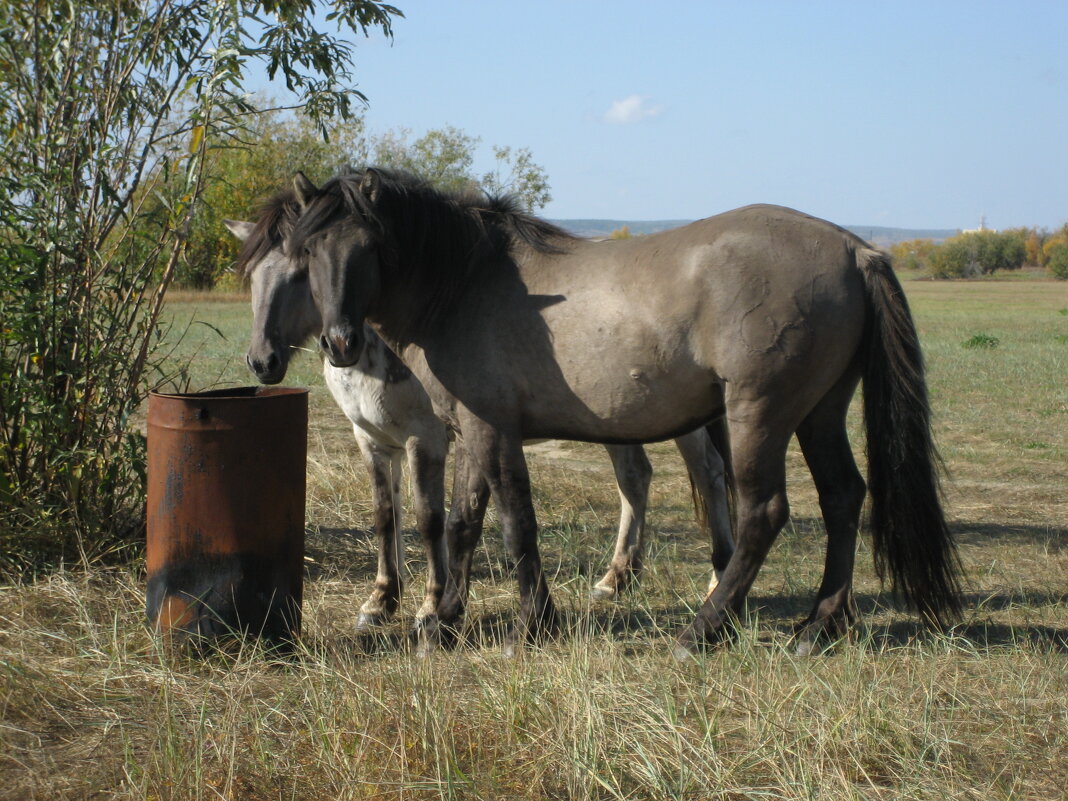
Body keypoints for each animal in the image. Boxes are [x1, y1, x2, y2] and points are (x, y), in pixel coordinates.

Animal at [227, 191, 734, 645]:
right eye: (251, 275)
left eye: (299, 272)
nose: (262, 361)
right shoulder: (371, 440)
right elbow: (386, 516)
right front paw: (381, 602)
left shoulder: (428, 439)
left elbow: (431, 519)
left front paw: (430, 607)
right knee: (634, 478)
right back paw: (616, 579)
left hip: (683, 425)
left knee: (709, 475)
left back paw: (715, 582)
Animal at [288, 169, 965, 657]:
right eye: (309, 249)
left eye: (369, 246)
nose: (340, 343)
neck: (464, 283)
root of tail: (855, 250)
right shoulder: (474, 430)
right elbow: (464, 524)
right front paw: (445, 623)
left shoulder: (491, 430)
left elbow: (513, 524)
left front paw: (530, 626)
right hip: (819, 412)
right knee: (843, 497)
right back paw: (818, 626)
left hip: (760, 413)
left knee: (764, 513)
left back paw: (704, 630)